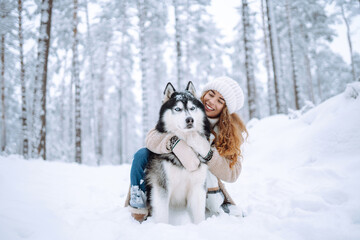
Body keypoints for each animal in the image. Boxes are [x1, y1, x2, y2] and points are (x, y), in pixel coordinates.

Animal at [144, 81, 211, 224]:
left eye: (192, 108)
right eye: (178, 109)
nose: (190, 120)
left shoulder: (198, 186)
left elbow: (199, 216)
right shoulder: (162, 186)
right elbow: (162, 215)